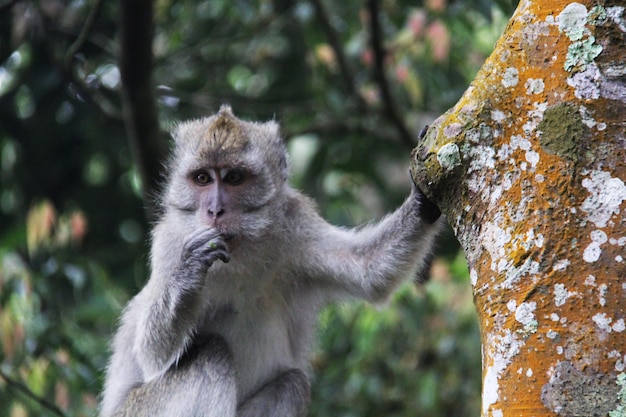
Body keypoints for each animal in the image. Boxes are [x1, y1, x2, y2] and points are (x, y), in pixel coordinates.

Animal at [100, 105, 442, 416]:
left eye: (234, 178)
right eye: (202, 178)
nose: (214, 210)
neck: (240, 254)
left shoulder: (296, 223)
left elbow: (370, 272)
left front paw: (424, 197)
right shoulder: (170, 243)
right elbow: (152, 354)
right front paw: (190, 269)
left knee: (292, 384)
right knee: (210, 353)